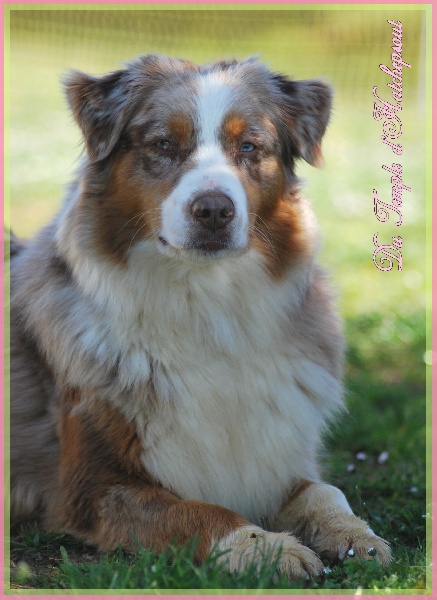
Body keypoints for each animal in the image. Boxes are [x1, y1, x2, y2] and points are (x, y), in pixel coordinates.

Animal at [8, 56, 390, 580]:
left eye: (249, 146)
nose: (213, 210)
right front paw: (268, 548)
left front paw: (355, 536)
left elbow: (325, 491)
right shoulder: (92, 488)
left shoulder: (275, 460)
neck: (206, 310)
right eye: (164, 145)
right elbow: (198, 512)